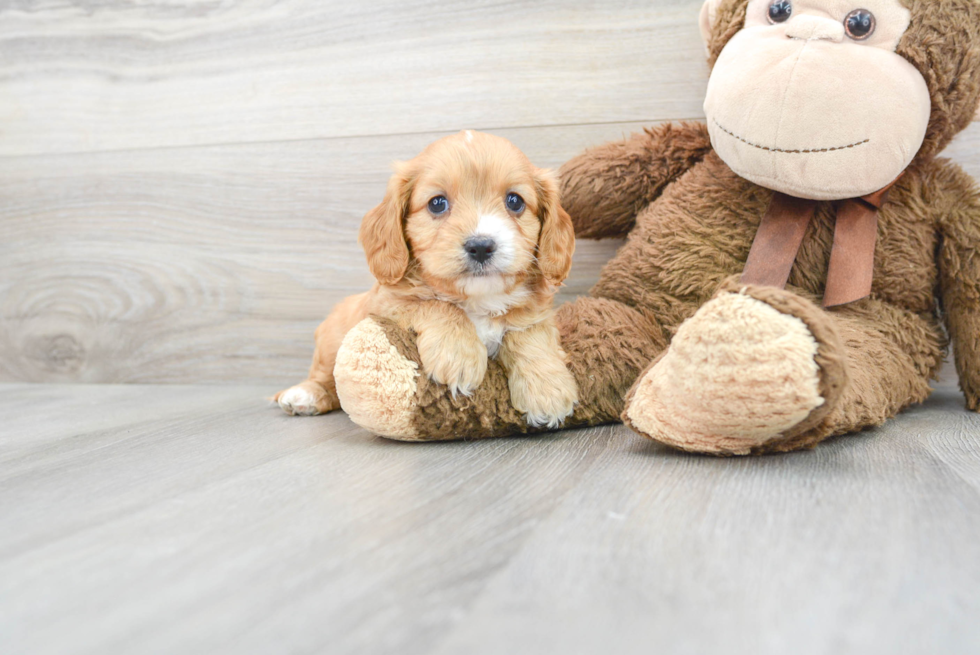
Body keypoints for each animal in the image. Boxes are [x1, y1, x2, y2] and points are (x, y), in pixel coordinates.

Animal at [274, 133, 580, 428]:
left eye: (514, 201)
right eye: (437, 203)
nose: (481, 246)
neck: (477, 300)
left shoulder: (536, 311)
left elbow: (529, 332)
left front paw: (548, 390)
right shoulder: (389, 303)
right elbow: (437, 305)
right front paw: (459, 356)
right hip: (332, 339)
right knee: (325, 376)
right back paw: (304, 395)